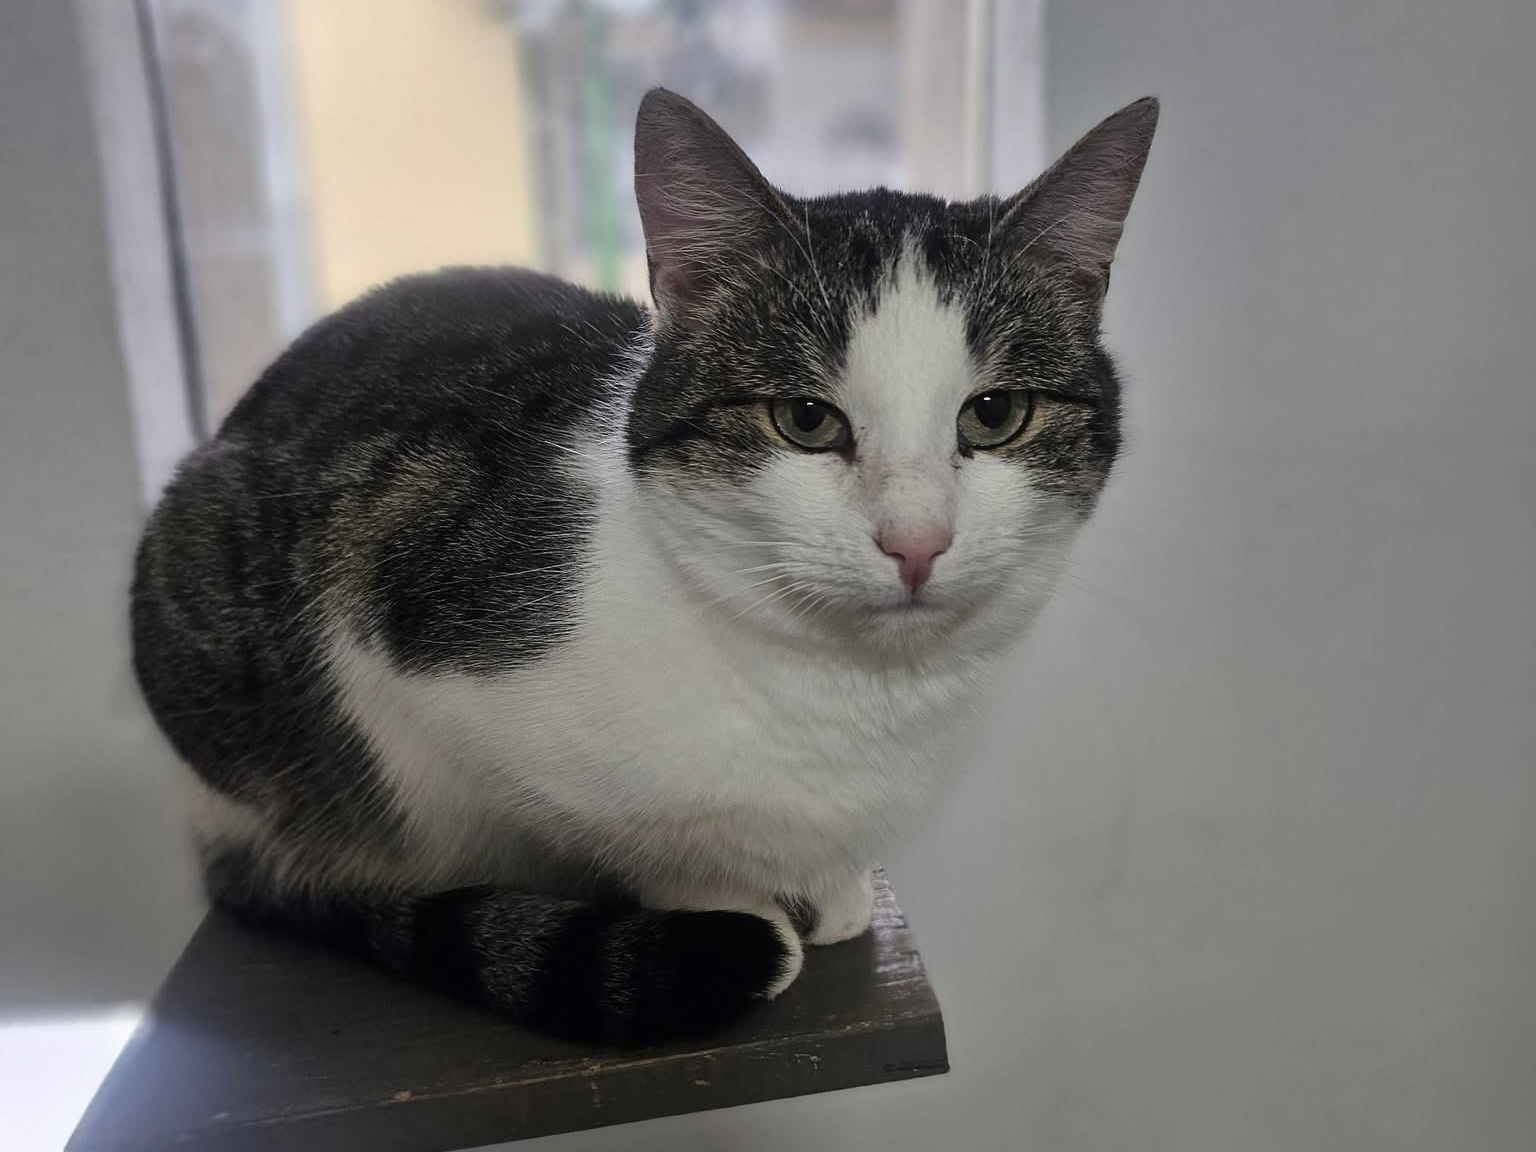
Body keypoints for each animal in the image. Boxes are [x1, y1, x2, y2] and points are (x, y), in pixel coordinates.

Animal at [130, 88, 1157, 1046]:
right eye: (805, 420)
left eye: (996, 415)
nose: (917, 541)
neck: (846, 695)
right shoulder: (405, 635)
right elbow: (644, 844)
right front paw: (732, 900)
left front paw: (827, 886)